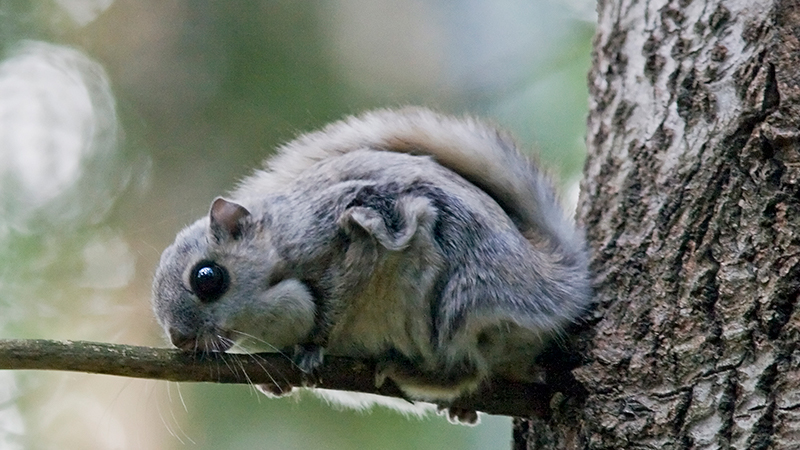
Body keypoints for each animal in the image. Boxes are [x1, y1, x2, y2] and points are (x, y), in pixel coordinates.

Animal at [152, 107, 588, 424]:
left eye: (207, 278)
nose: (179, 339)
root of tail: (556, 283)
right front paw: (279, 384)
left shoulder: (346, 237)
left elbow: (338, 297)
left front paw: (312, 348)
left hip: (456, 302)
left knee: (464, 367)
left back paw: (404, 370)